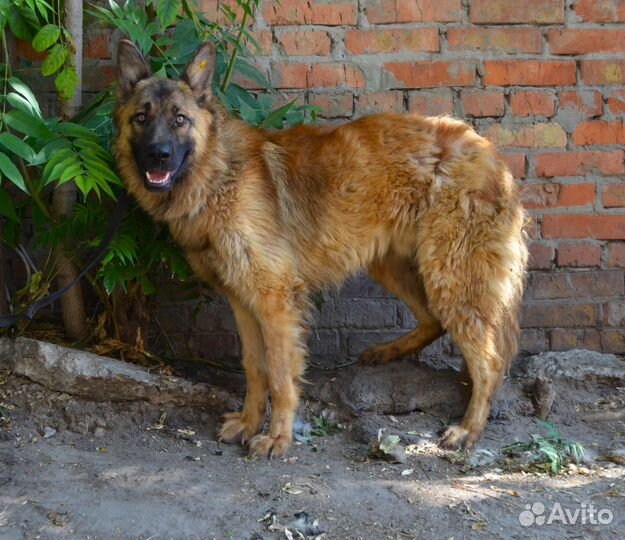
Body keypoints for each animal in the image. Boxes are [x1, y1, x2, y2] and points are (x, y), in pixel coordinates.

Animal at [113, 40, 528, 458]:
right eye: (141, 118)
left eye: (180, 119)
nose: (158, 155)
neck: (217, 174)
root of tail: (488, 150)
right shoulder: (242, 301)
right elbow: (254, 368)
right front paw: (249, 423)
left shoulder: (275, 301)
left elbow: (280, 376)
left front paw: (277, 437)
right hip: (394, 266)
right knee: (433, 320)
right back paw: (388, 352)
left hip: (450, 277)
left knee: (489, 359)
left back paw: (468, 429)